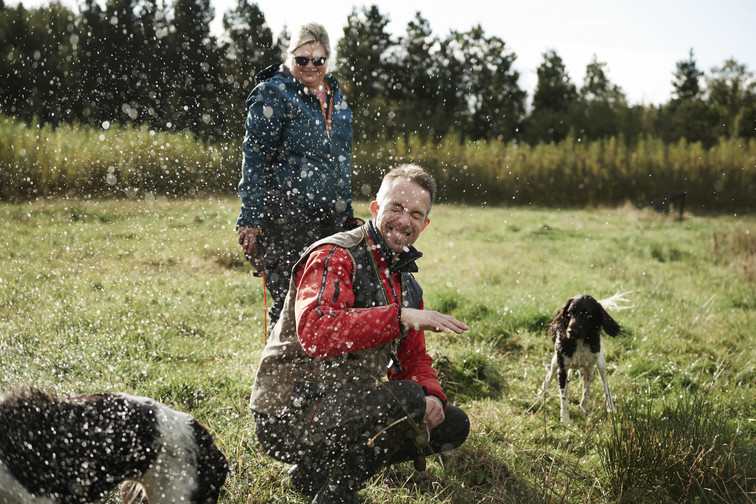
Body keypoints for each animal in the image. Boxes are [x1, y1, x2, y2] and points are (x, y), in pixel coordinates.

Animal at [544, 294, 628, 424]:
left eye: (587, 314)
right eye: (569, 313)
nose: (571, 331)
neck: (579, 342)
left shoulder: (590, 367)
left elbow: (586, 392)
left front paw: (584, 411)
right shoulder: (562, 369)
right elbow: (564, 398)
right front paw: (565, 420)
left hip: (601, 363)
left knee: (605, 386)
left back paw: (611, 407)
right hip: (555, 363)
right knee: (547, 379)